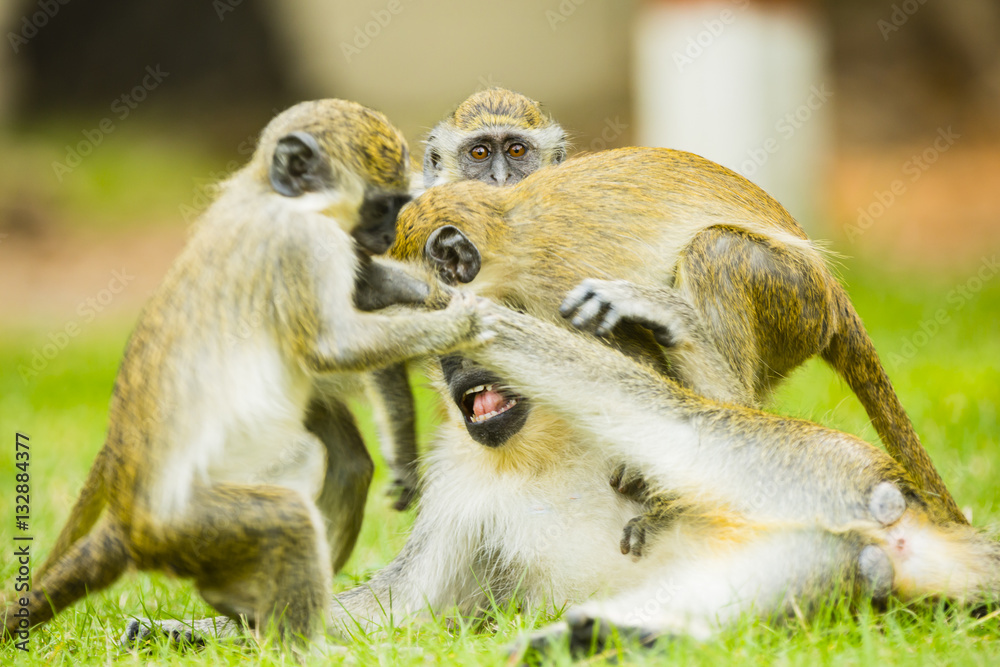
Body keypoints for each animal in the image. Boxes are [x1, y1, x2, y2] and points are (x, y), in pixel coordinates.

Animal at [1, 99, 489, 645]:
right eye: (381, 206)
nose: (385, 236)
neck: (268, 196)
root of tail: (127, 521)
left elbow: (361, 286)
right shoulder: (303, 241)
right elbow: (333, 345)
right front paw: (459, 318)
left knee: (344, 464)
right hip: (188, 526)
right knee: (288, 515)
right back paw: (298, 643)